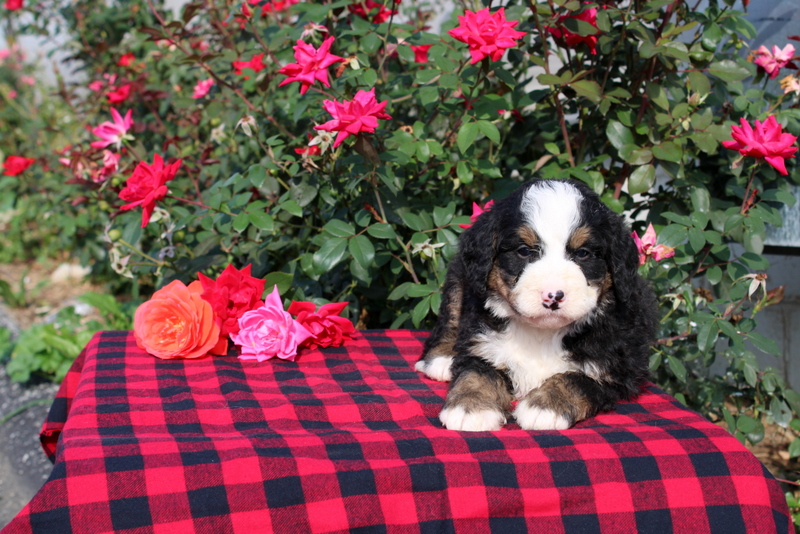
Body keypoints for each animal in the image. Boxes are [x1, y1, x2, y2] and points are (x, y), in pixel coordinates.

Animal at [418, 178, 656, 434]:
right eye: (524, 251)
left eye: (583, 253)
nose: (553, 295)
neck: (542, 334)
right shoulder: (481, 341)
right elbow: (477, 372)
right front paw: (471, 406)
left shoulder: (617, 368)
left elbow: (578, 379)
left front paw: (545, 406)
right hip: (459, 277)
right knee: (451, 317)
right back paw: (442, 359)